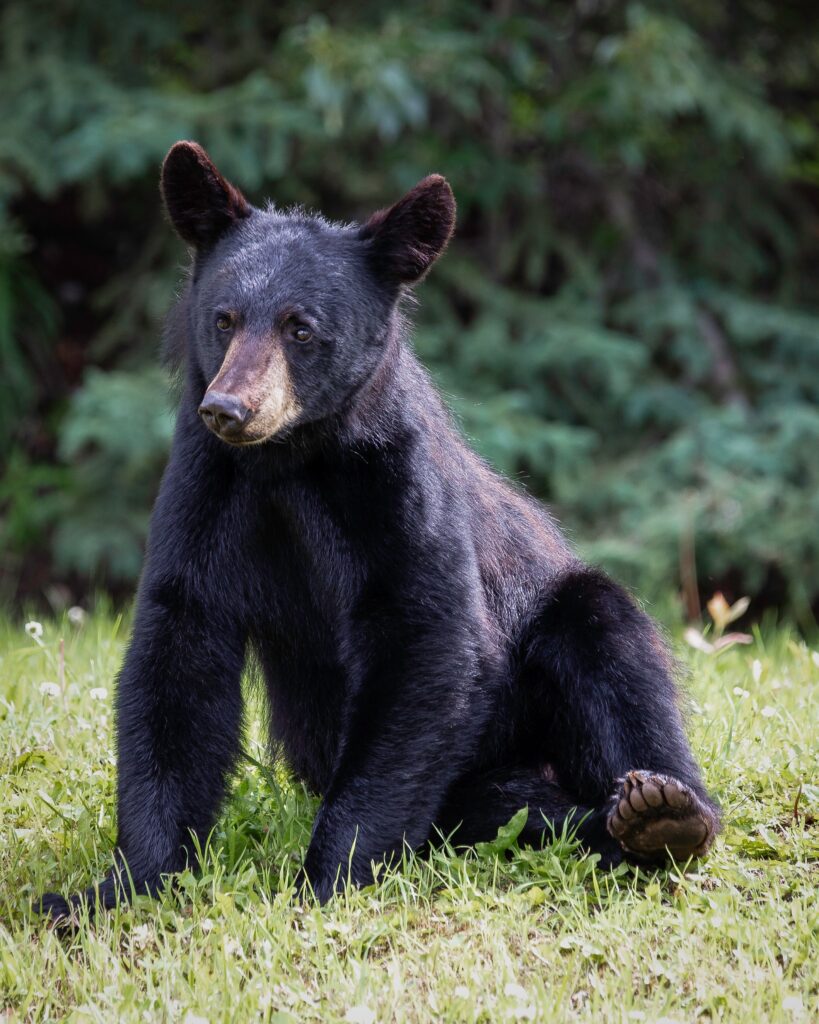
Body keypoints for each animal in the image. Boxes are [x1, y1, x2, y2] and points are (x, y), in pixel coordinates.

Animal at [39, 142, 716, 921]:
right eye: (224, 318)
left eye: (301, 328)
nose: (229, 408)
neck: (291, 463)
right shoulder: (205, 490)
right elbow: (178, 651)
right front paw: (118, 887)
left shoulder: (398, 488)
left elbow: (423, 639)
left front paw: (328, 877)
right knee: (507, 808)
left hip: (556, 632)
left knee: (610, 651)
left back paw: (661, 813)